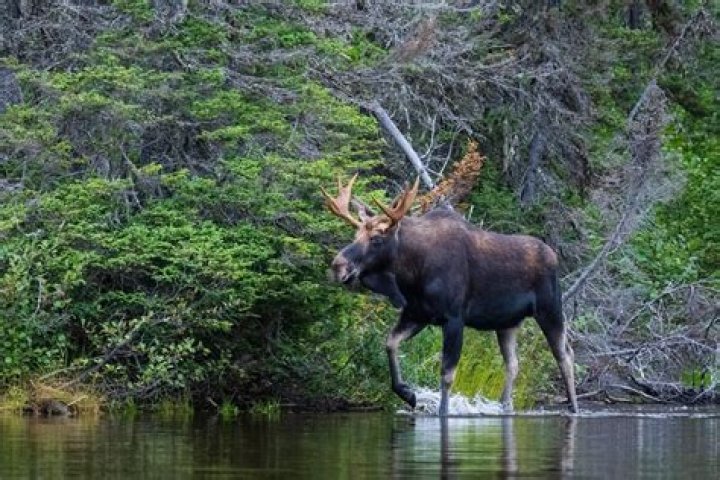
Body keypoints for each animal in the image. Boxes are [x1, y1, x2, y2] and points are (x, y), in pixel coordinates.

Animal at [322, 174, 578, 416]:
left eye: (376, 239)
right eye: (355, 235)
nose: (338, 266)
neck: (411, 273)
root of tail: (553, 255)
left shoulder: (454, 318)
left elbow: (447, 373)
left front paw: (442, 411)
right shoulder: (417, 314)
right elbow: (390, 343)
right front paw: (408, 394)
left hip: (550, 309)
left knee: (565, 355)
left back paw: (573, 407)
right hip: (507, 322)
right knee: (513, 364)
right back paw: (505, 406)